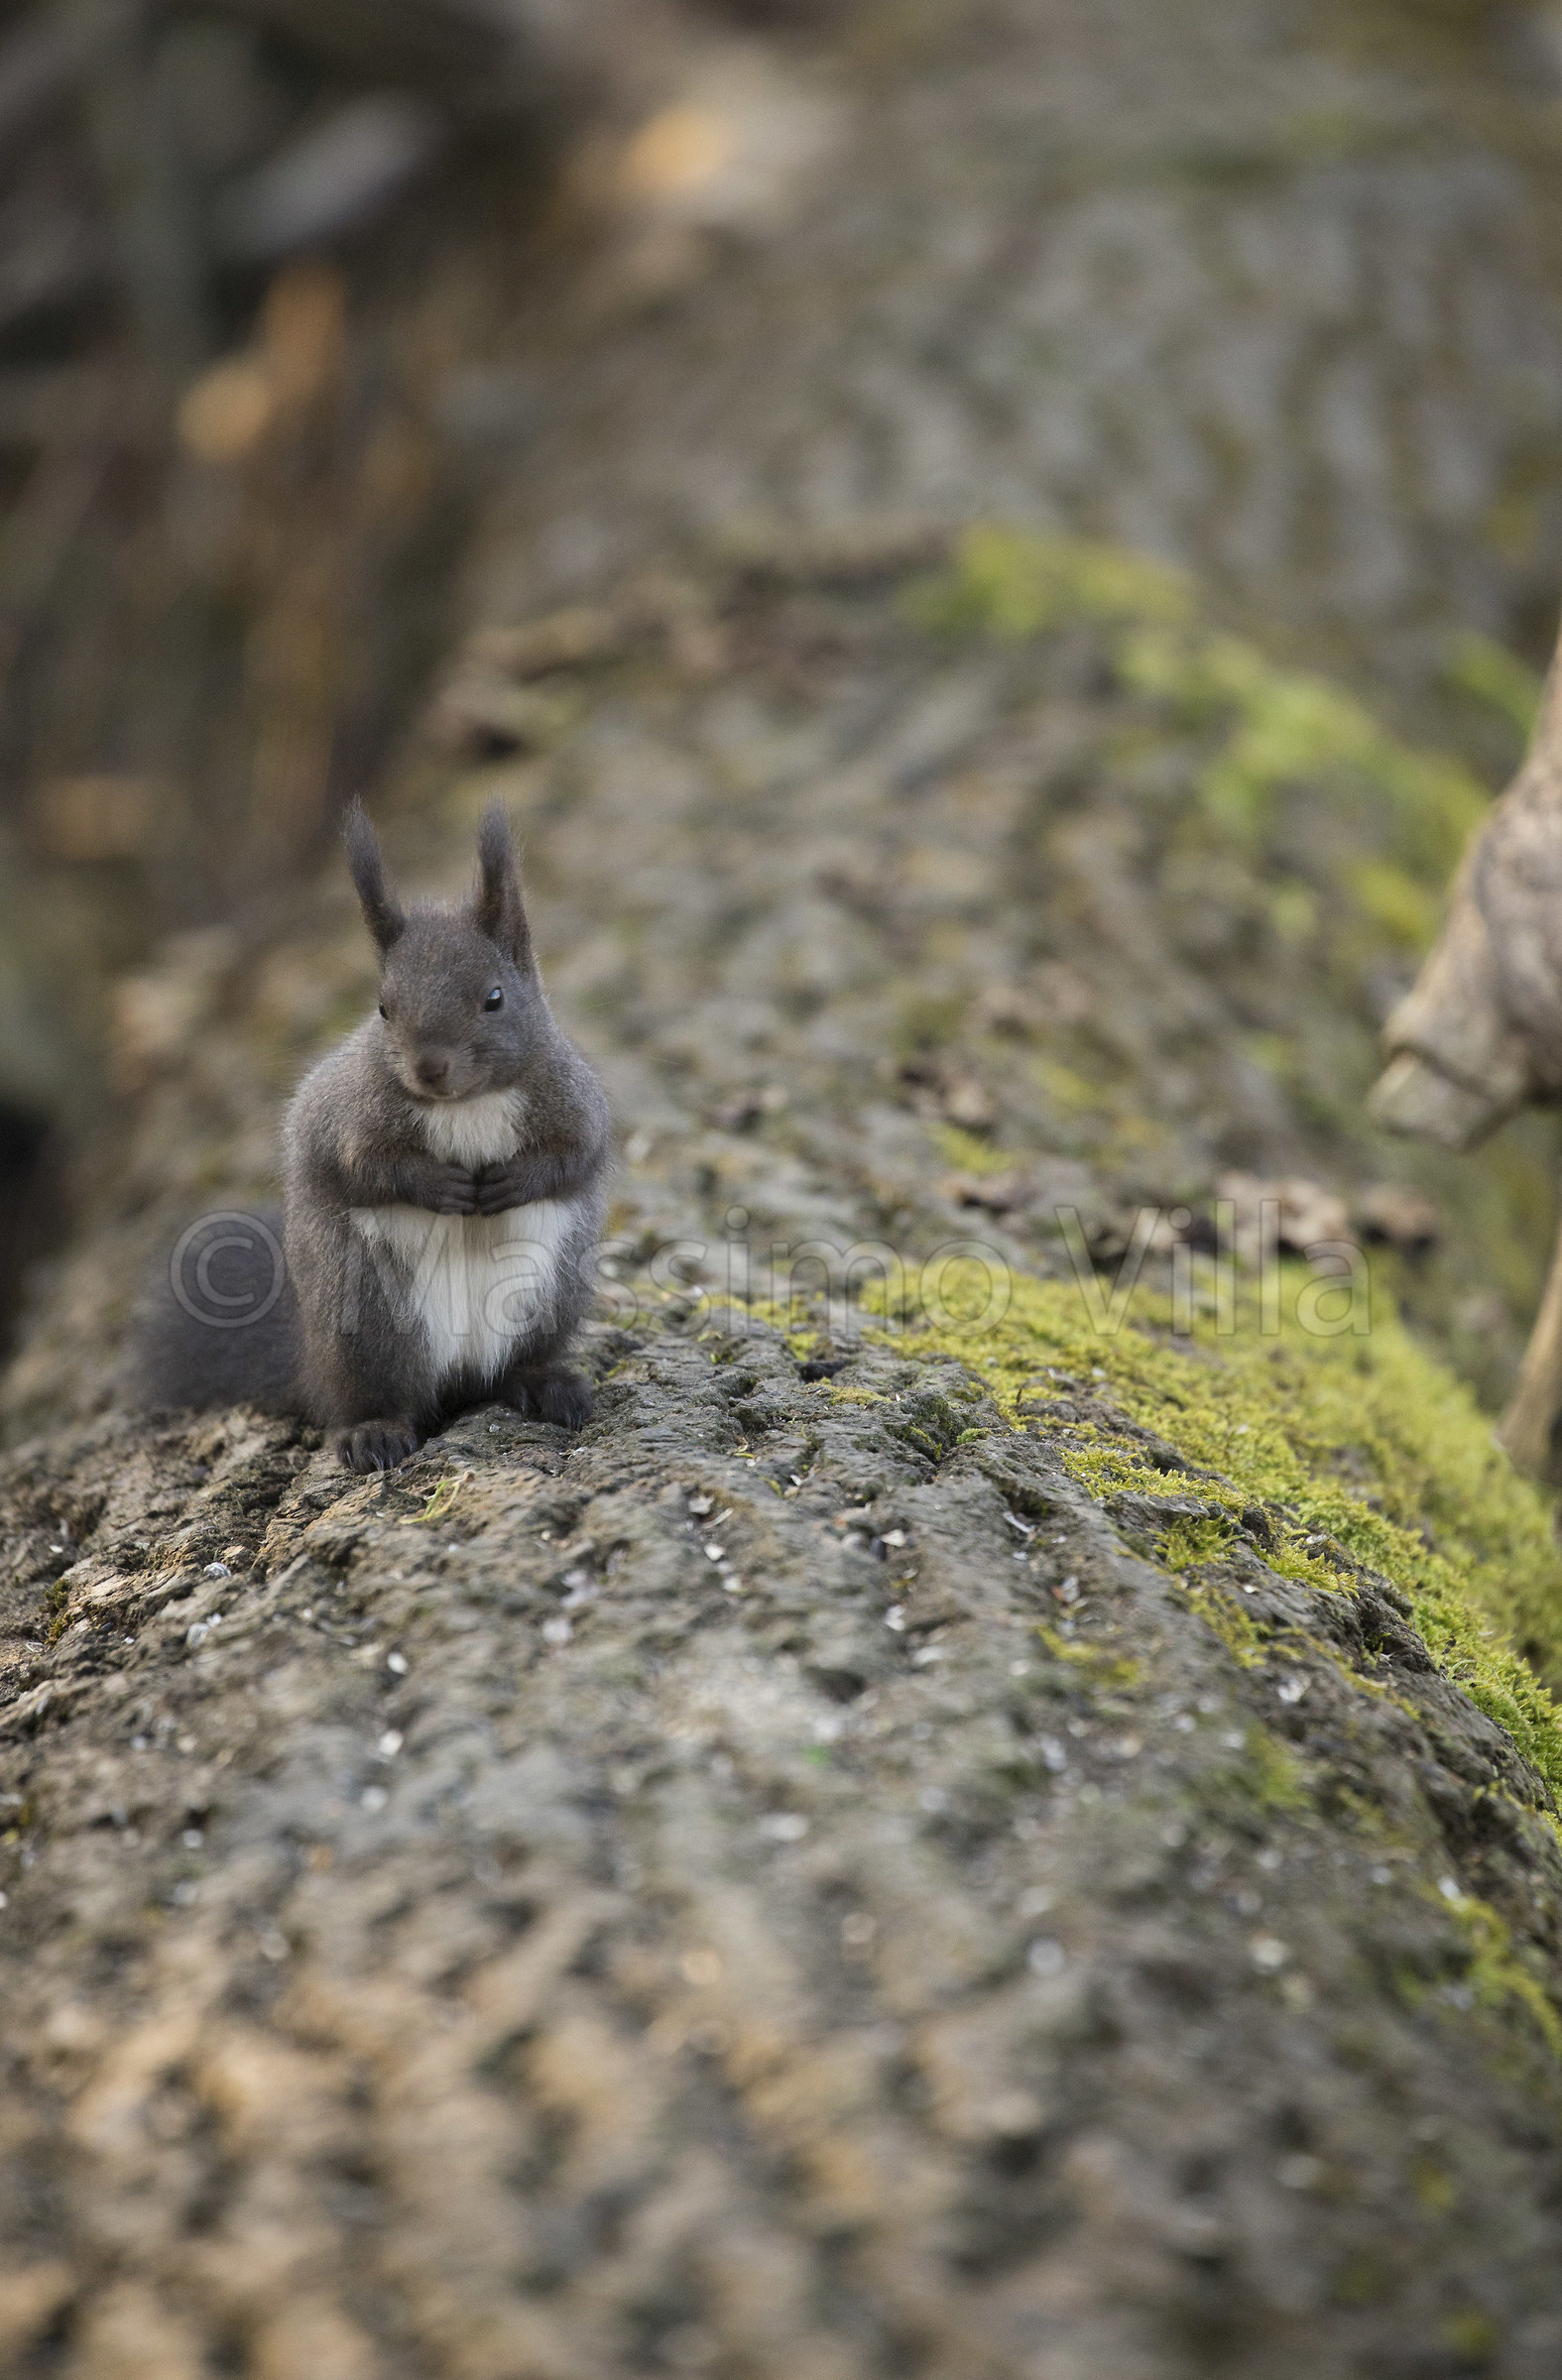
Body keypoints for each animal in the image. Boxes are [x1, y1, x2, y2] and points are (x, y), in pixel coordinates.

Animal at [130, 801, 611, 1471]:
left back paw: (545, 1384)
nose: (429, 1068)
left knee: (513, 1368)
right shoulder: (342, 1118)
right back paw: (374, 1431)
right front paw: (440, 1186)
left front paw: (513, 1182)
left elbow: (578, 1154)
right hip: (367, 1325)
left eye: (494, 998)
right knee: (371, 1397)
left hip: (548, 1300)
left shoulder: (571, 1098)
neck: (466, 1104)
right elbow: (359, 1169)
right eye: (383, 1008)